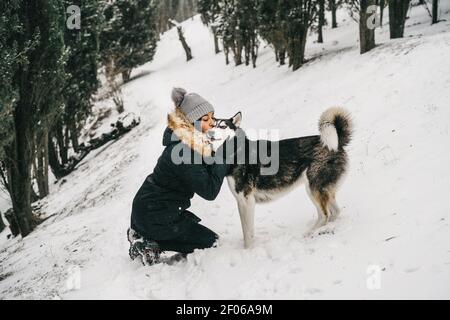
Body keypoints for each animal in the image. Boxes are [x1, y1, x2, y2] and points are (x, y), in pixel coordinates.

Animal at [207, 107, 352, 248]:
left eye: (223, 126)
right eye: (213, 125)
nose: (210, 133)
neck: (236, 151)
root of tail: (337, 143)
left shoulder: (247, 202)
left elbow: (247, 234)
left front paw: (248, 251)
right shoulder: (242, 202)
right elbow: (247, 231)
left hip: (314, 189)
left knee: (324, 215)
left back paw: (310, 233)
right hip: (321, 190)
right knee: (335, 212)